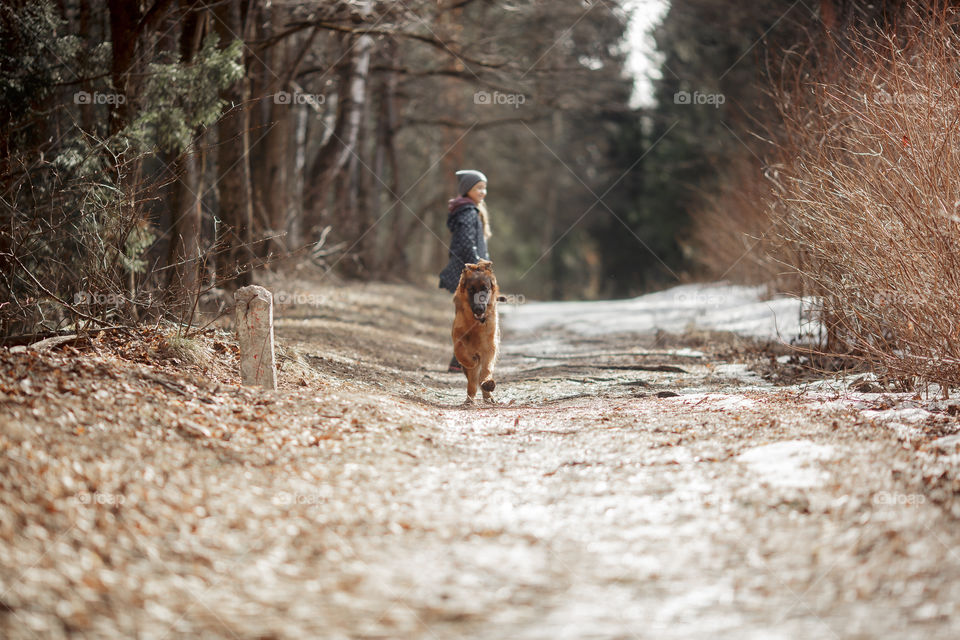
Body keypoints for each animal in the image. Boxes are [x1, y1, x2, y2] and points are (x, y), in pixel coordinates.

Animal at [454, 258, 502, 400]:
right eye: (471, 290)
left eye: (485, 289)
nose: (479, 309)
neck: (476, 324)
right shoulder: (456, 336)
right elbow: (459, 350)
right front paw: (471, 361)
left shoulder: (490, 346)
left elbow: (487, 368)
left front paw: (487, 383)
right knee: (472, 381)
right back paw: (470, 398)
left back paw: (487, 393)